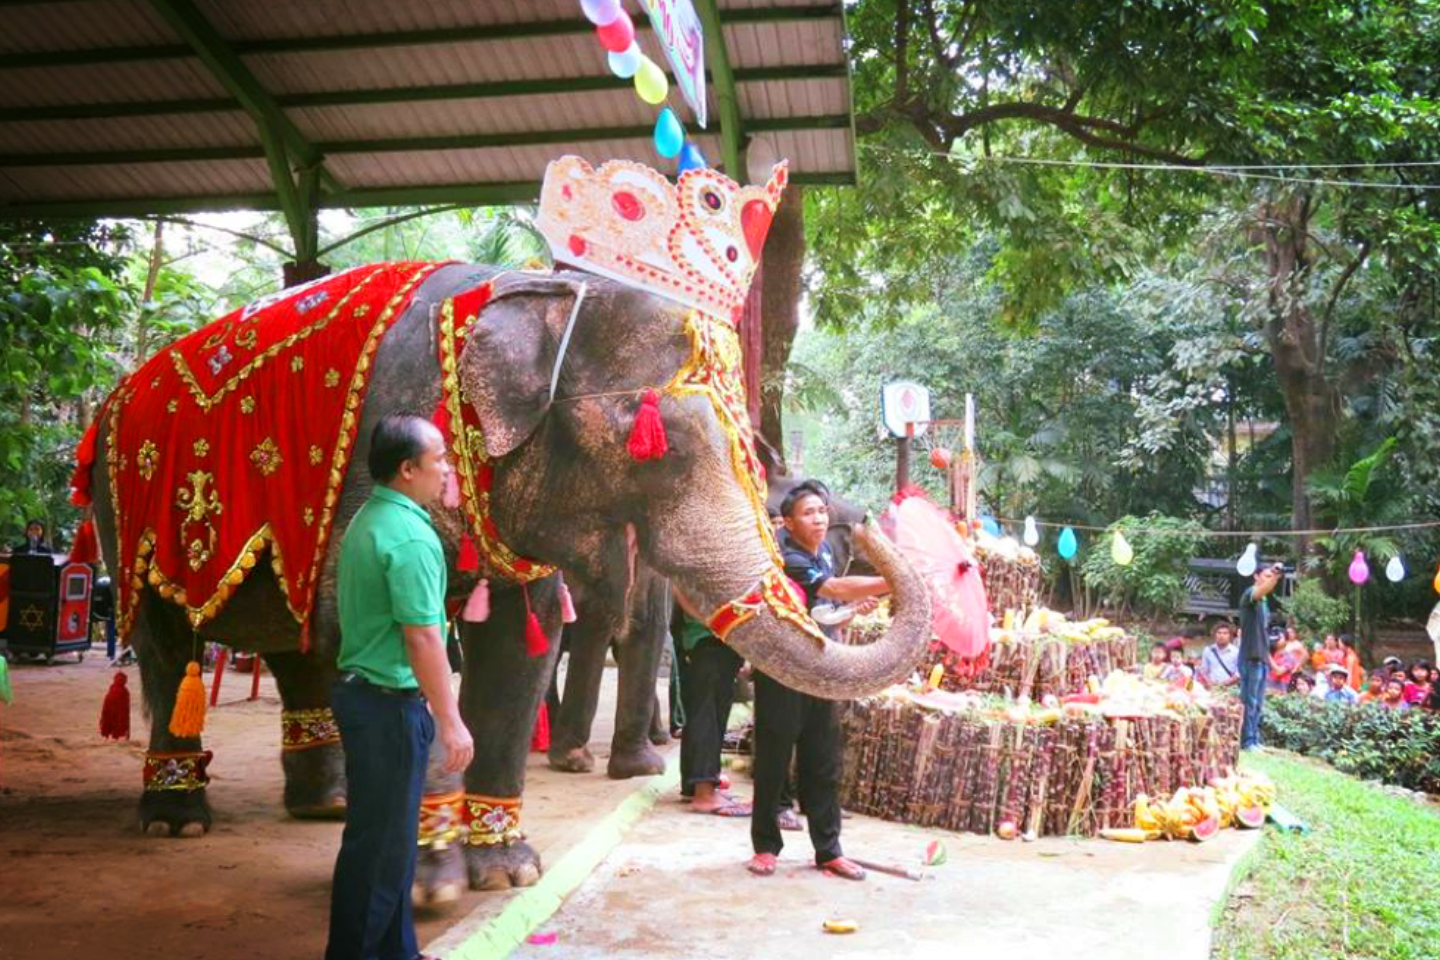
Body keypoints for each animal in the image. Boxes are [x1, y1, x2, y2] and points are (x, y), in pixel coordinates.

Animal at [87, 260, 933, 892]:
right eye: (649, 436)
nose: (863, 518)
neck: (534, 291)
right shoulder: (377, 453)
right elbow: (402, 638)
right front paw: (433, 882)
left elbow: (525, 637)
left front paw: (505, 873)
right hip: (126, 512)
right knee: (165, 640)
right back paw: (178, 818)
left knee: (295, 644)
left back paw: (328, 805)